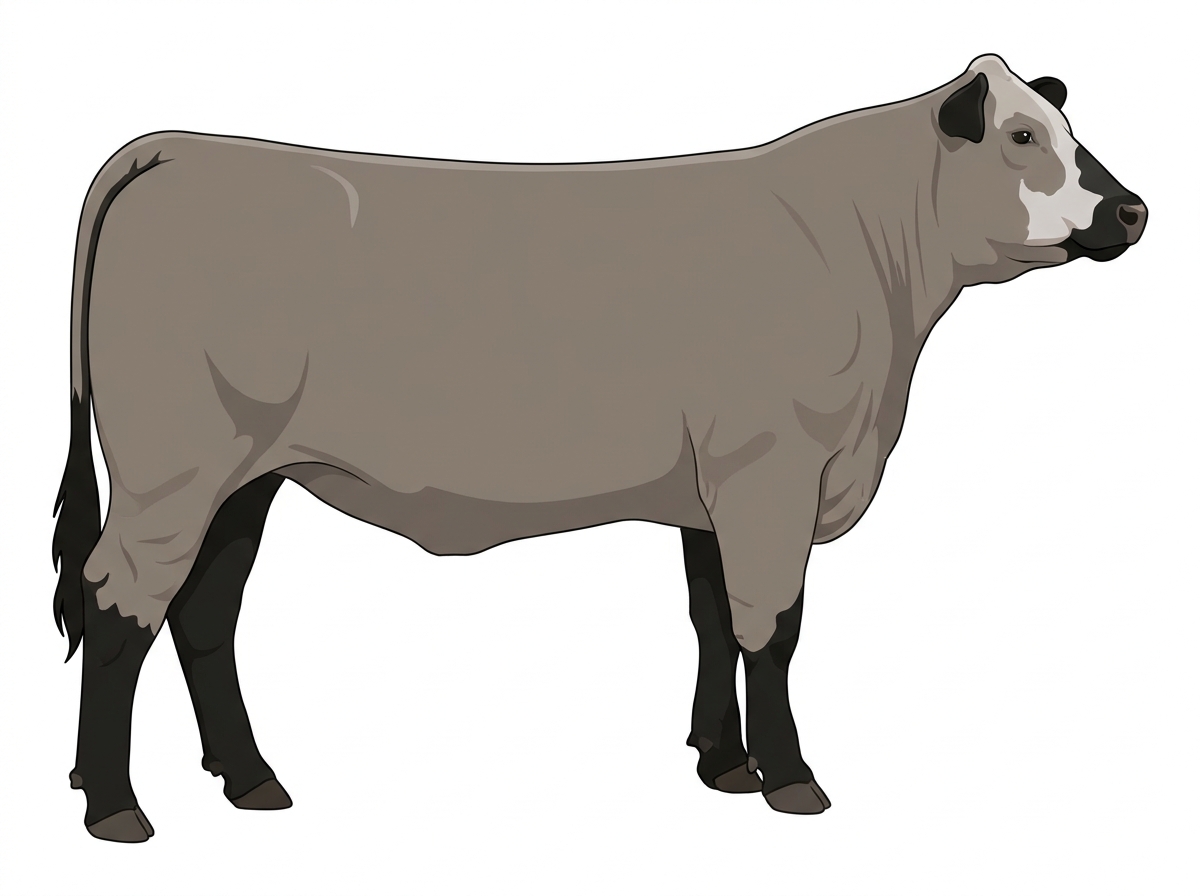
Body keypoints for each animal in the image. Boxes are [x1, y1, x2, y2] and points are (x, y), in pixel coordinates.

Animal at [52, 54, 1146, 841]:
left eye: (1066, 130)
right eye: (1021, 135)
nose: (1133, 209)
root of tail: (175, 147)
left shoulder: (716, 485)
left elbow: (713, 618)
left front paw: (724, 763)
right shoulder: (773, 469)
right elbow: (772, 627)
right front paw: (792, 778)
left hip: (245, 473)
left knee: (203, 612)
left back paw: (250, 780)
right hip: (172, 467)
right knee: (119, 602)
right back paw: (115, 807)